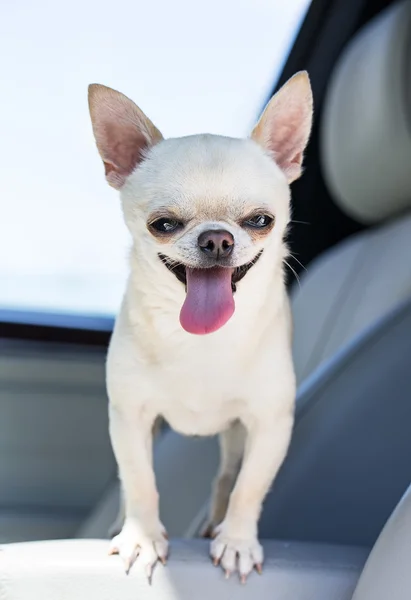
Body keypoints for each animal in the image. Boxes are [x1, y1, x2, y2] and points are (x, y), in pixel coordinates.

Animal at [87, 70, 312, 580]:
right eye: (163, 224)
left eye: (261, 220)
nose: (217, 238)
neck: (200, 341)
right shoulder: (130, 417)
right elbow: (140, 479)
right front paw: (141, 538)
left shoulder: (269, 423)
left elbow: (249, 486)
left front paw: (237, 542)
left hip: (236, 432)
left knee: (228, 474)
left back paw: (217, 524)